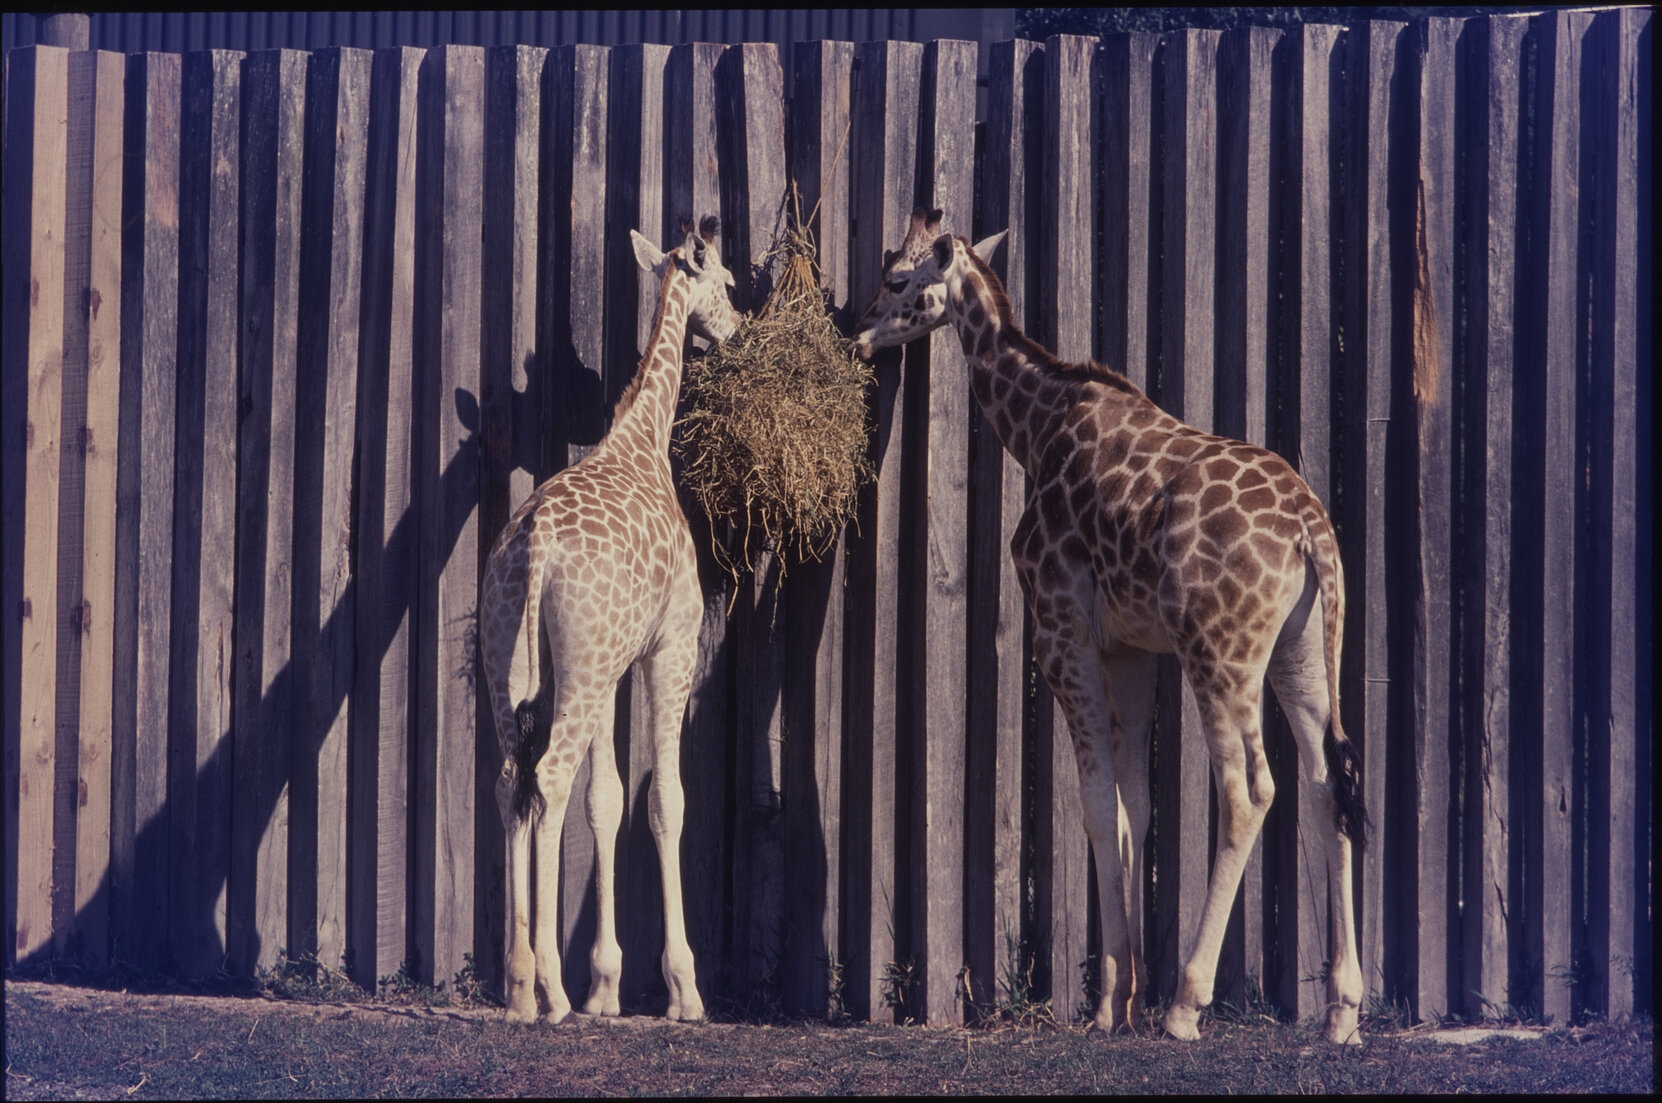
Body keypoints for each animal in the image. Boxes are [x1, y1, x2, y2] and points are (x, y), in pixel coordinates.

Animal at [479, 217, 740, 1024]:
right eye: (730, 283)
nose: (736, 328)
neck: (642, 438)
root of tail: (531, 550)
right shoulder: (668, 645)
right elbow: (663, 800)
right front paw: (684, 988)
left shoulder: (608, 662)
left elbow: (606, 800)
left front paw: (606, 984)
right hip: (585, 668)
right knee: (549, 778)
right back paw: (548, 991)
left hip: (516, 666)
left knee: (512, 781)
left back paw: (518, 985)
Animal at [851, 208, 1367, 1045]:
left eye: (897, 277)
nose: (859, 329)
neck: (1035, 425)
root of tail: (1307, 531)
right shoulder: (1132, 648)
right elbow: (1134, 809)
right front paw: (1120, 994)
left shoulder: (1060, 628)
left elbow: (1094, 805)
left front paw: (1106, 1004)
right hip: (1304, 648)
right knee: (1327, 783)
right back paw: (1342, 1011)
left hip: (1220, 650)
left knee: (1249, 788)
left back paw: (1187, 1004)